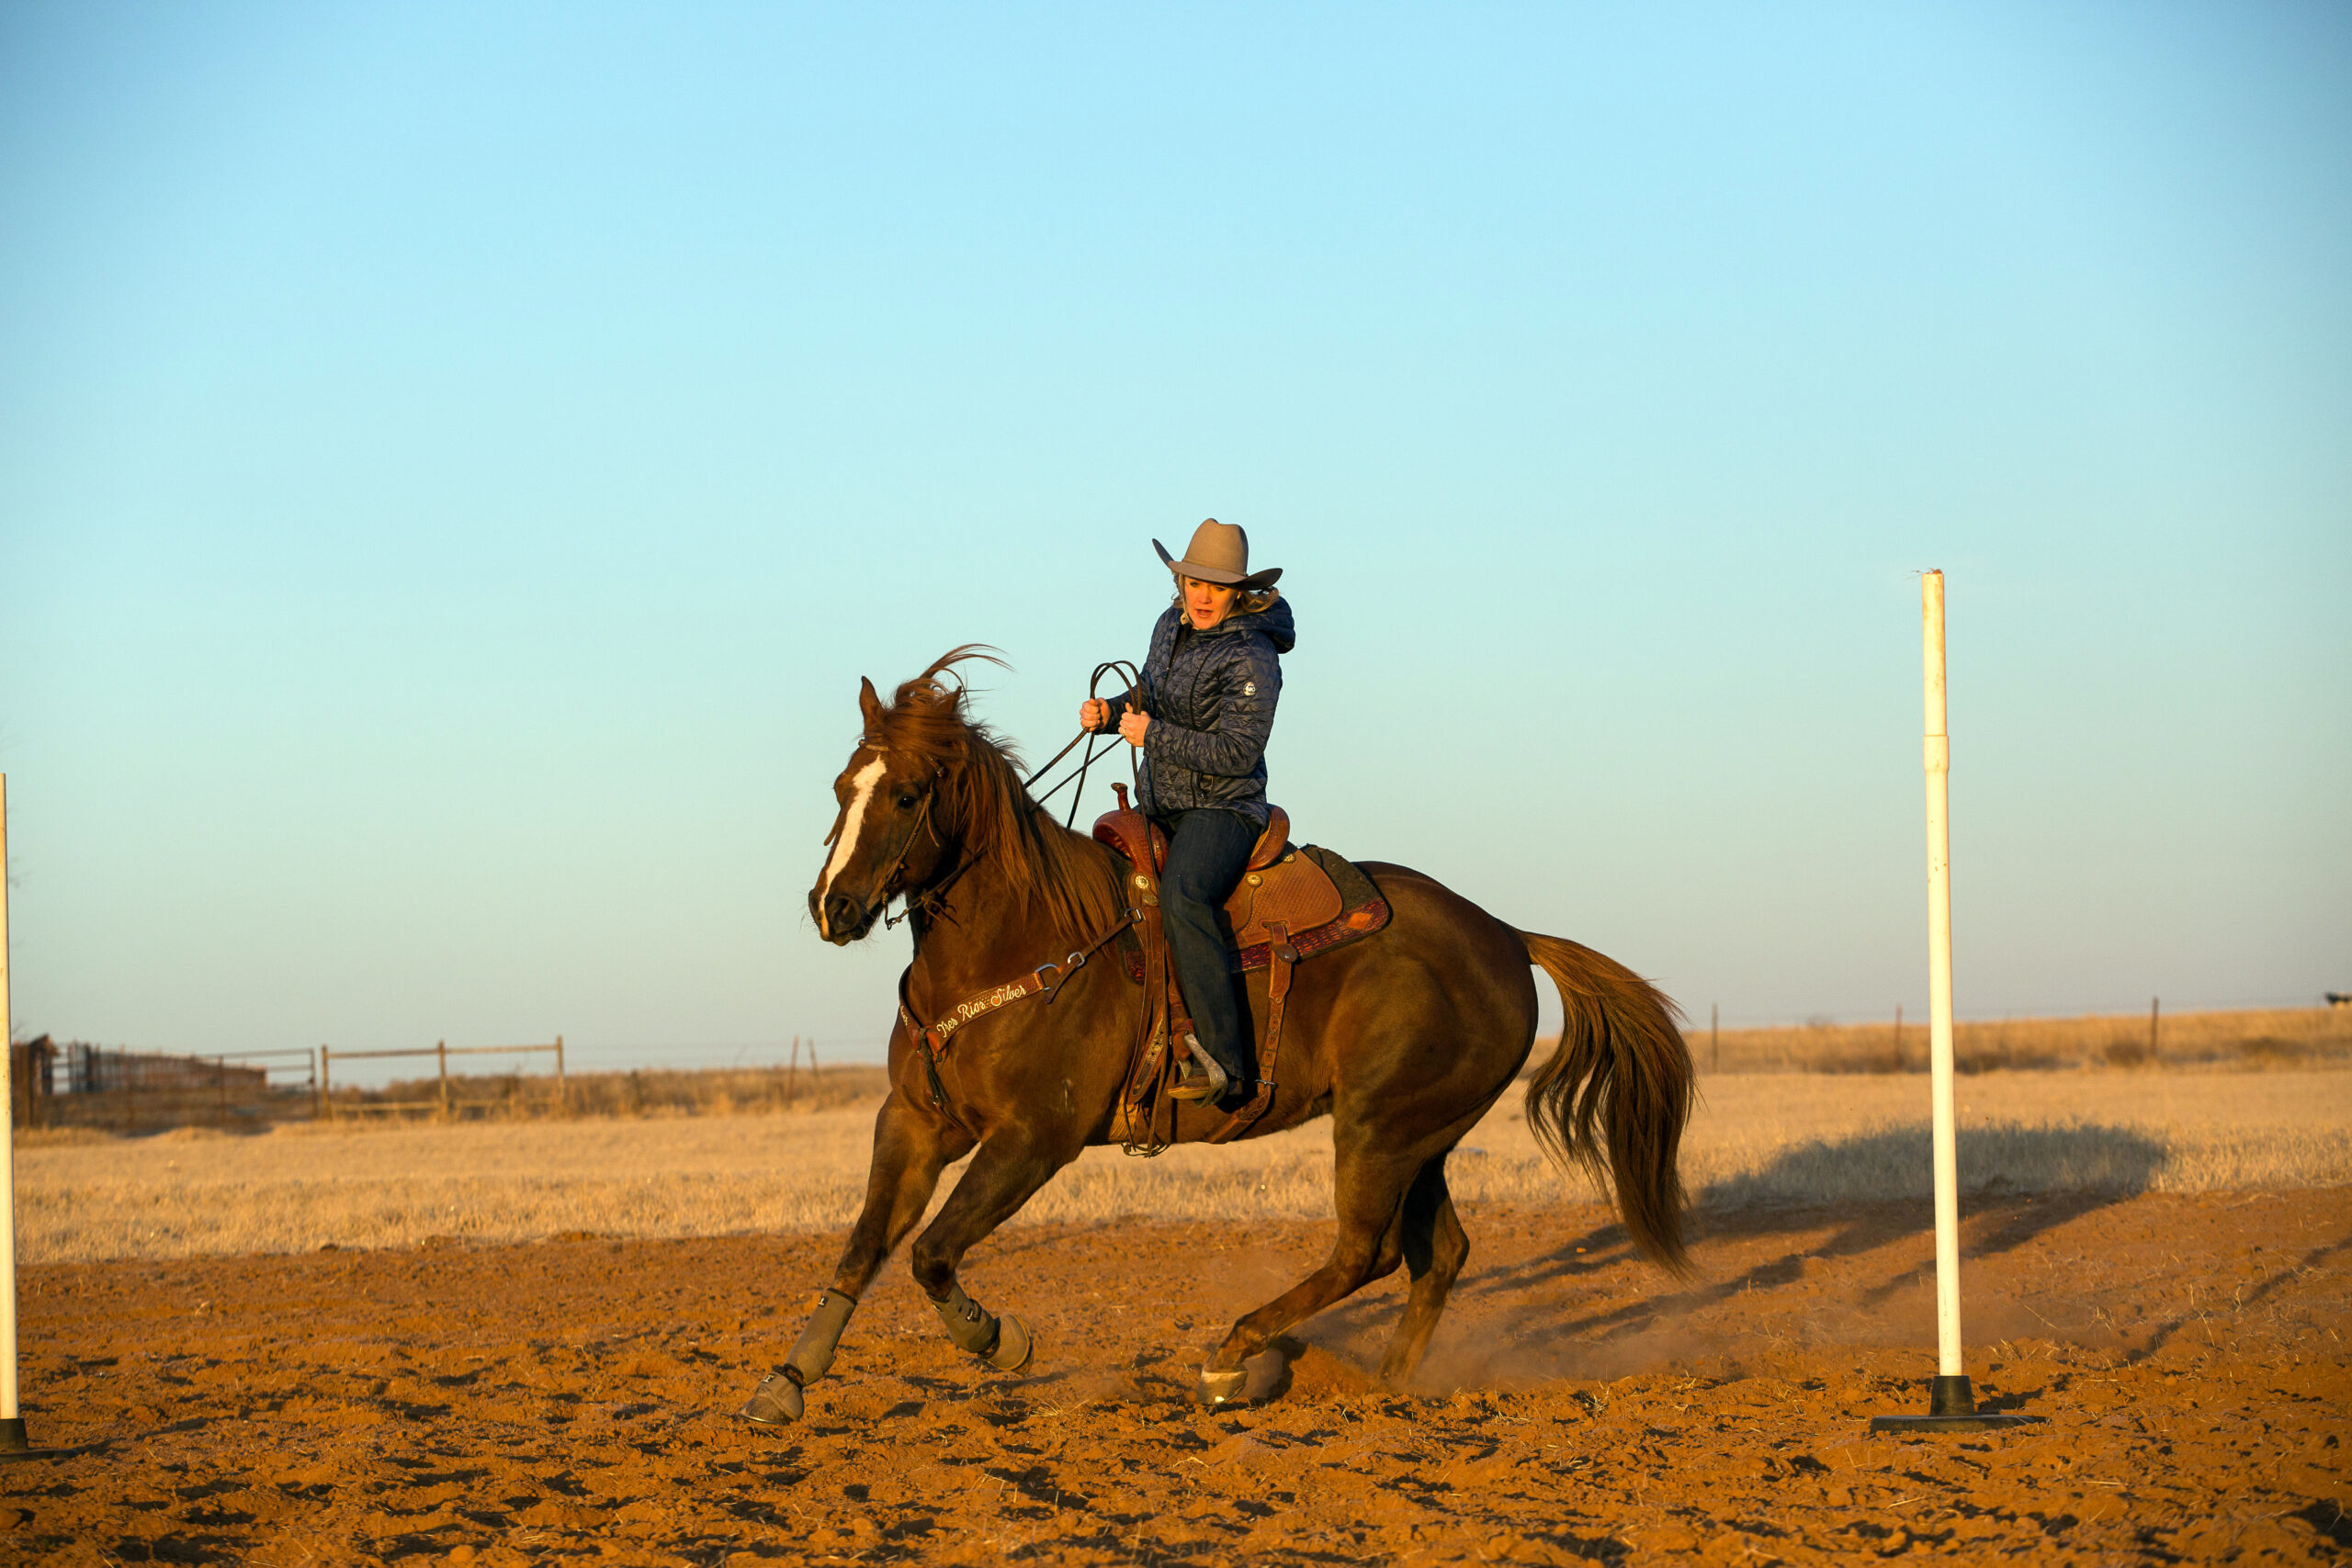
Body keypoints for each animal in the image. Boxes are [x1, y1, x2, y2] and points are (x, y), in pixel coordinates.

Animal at [739, 647, 1694, 1422]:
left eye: (905, 794)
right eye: (841, 789)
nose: (833, 907)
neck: (1020, 940)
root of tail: (1506, 934)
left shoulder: (1034, 1139)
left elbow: (933, 1252)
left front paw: (998, 1339)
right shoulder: (912, 1121)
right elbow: (866, 1244)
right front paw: (787, 1381)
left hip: (1381, 1129)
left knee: (1367, 1251)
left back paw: (1234, 1356)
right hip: (1425, 1136)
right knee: (1439, 1256)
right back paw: (1383, 1383)